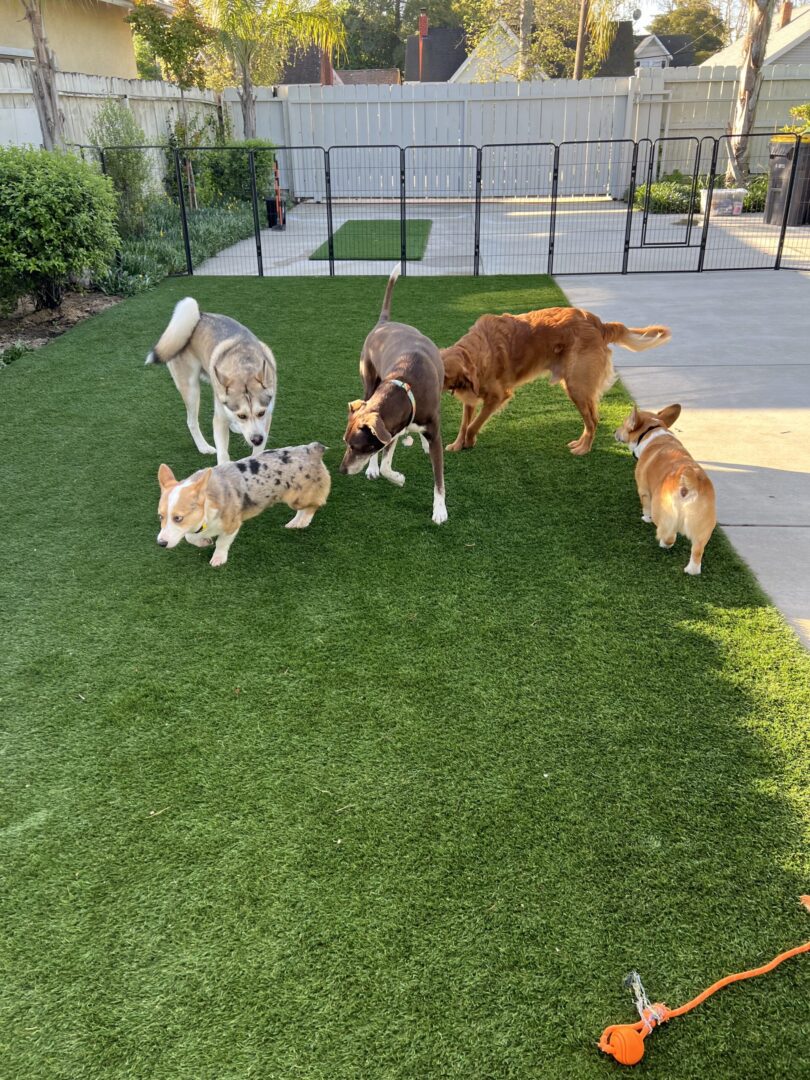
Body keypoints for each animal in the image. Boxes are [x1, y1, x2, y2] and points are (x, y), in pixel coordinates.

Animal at [147, 295, 278, 464]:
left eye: (261, 413)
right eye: (242, 415)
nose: (257, 439)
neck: (243, 366)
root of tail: (199, 315)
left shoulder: (267, 418)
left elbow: (257, 452)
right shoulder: (220, 419)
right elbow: (223, 453)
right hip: (191, 390)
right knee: (191, 421)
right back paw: (204, 447)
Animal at [156, 442, 330, 570]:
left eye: (178, 518)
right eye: (160, 516)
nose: (161, 544)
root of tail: (312, 449)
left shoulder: (232, 526)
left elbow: (221, 543)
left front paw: (218, 559)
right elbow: (190, 537)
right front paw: (204, 542)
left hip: (297, 498)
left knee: (314, 505)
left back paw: (303, 522)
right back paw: (295, 523)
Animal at [336, 267, 447, 524]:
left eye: (357, 447)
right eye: (346, 443)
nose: (342, 471)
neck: (407, 388)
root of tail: (383, 323)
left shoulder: (423, 429)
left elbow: (438, 477)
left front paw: (440, 510)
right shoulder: (391, 428)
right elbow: (386, 464)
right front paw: (396, 477)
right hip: (368, 382)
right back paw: (373, 468)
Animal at [444, 306, 673, 453]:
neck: (477, 352)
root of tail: (599, 324)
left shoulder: (498, 396)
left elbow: (473, 425)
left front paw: (469, 441)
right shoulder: (470, 399)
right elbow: (464, 423)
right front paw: (457, 444)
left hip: (576, 386)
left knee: (593, 420)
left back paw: (583, 450)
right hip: (577, 387)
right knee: (593, 419)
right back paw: (580, 444)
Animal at [613, 403, 717, 574]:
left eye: (623, 424)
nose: (614, 431)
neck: (651, 431)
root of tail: (689, 482)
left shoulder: (644, 490)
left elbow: (645, 506)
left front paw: (645, 518)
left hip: (663, 511)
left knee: (669, 536)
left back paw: (663, 543)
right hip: (703, 526)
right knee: (697, 550)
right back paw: (691, 570)